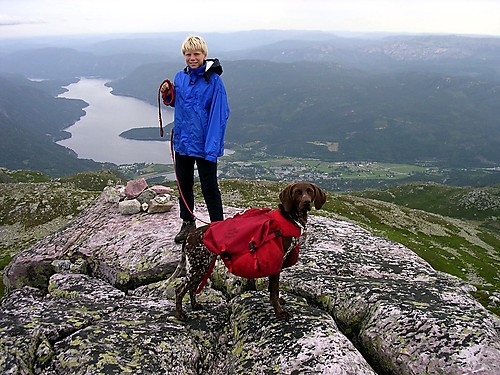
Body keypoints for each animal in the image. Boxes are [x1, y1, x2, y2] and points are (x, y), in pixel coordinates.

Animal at [168, 182, 326, 320]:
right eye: (297, 192)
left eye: (310, 191)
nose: (306, 202)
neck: (290, 217)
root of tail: (190, 235)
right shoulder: (276, 263)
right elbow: (274, 292)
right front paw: (279, 313)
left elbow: (273, 289)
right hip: (198, 267)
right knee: (179, 290)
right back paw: (180, 315)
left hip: (201, 267)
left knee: (191, 288)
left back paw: (194, 306)